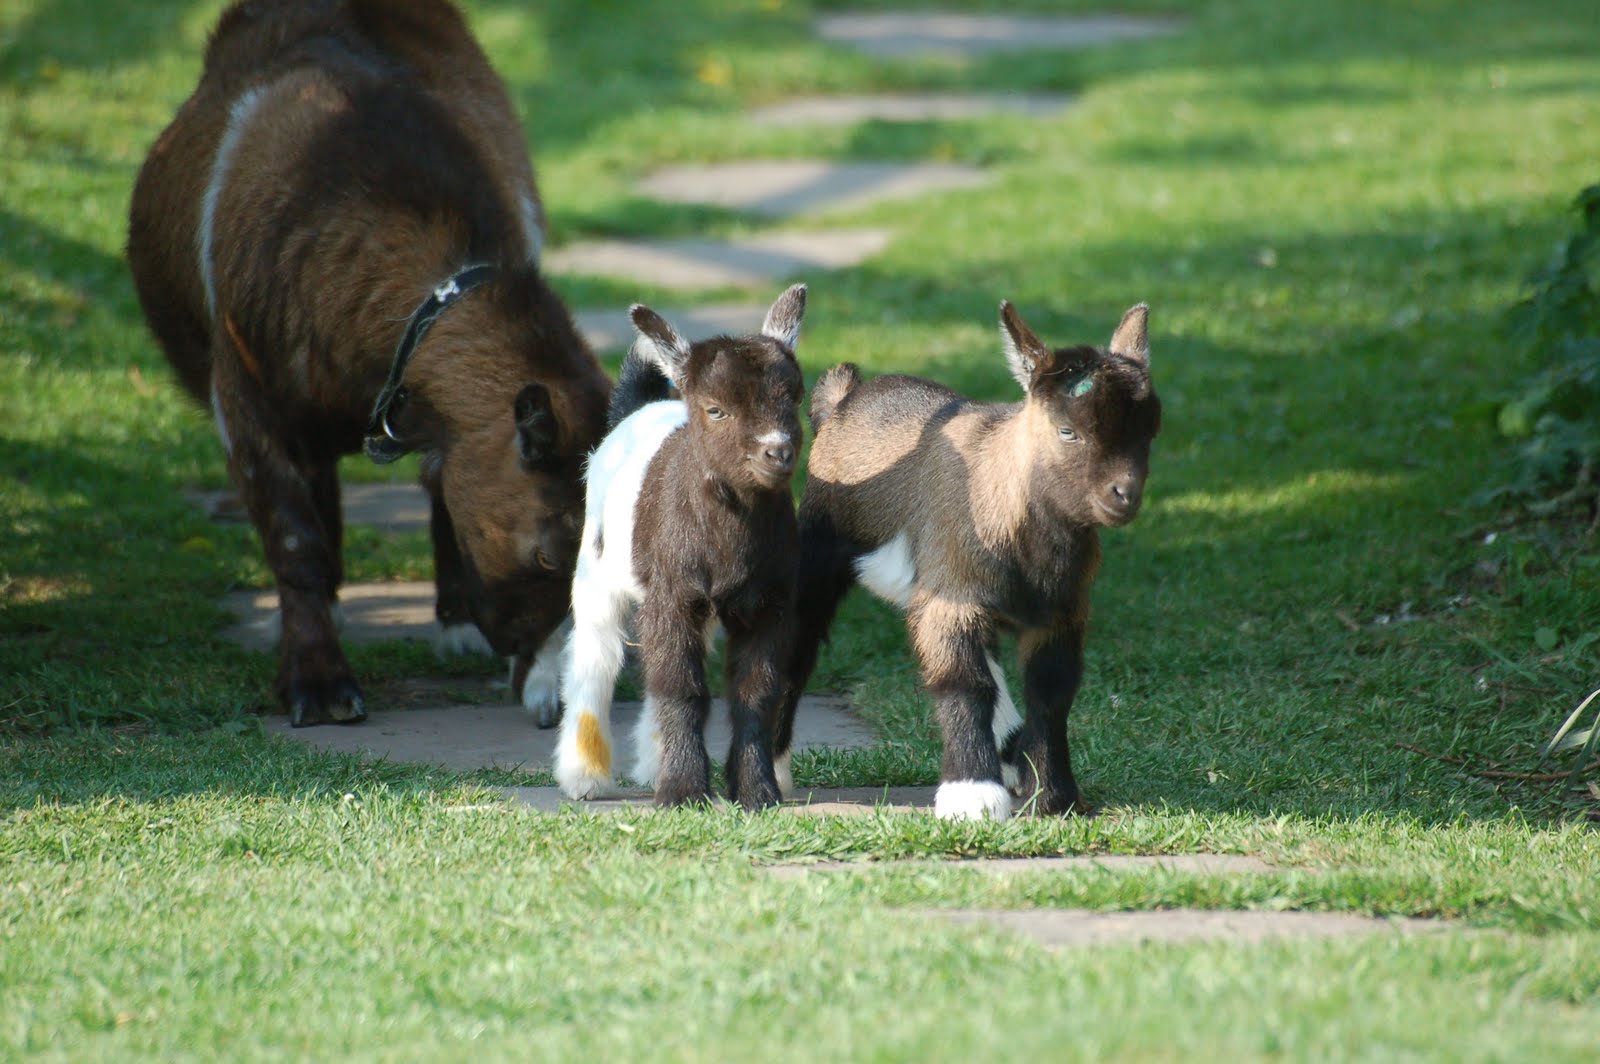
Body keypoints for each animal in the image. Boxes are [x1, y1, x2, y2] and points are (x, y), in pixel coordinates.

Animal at [127, 0, 610, 726]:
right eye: (551, 555)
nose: (545, 690)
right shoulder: (245, 404)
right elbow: (293, 537)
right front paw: (318, 682)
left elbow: (443, 494)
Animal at [554, 285, 807, 809]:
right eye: (715, 409)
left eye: (795, 398)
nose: (777, 452)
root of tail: (638, 410)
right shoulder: (671, 595)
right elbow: (680, 688)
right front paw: (683, 793)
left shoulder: (771, 604)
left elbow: (756, 693)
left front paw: (758, 792)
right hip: (596, 570)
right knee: (595, 658)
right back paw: (583, 776)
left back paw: (652, 764)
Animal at [775, 302, 1159, 820]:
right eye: (1068, 431)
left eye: (1149, 432)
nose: (1123, 495)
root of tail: (844, 400)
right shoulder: (949, 599)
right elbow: (963, 683)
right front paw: (973, 796)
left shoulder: (1061, 613)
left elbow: (1052, 691)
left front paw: (1055, 795)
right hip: (818, 551)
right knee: (797, 642)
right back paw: (776, 770)